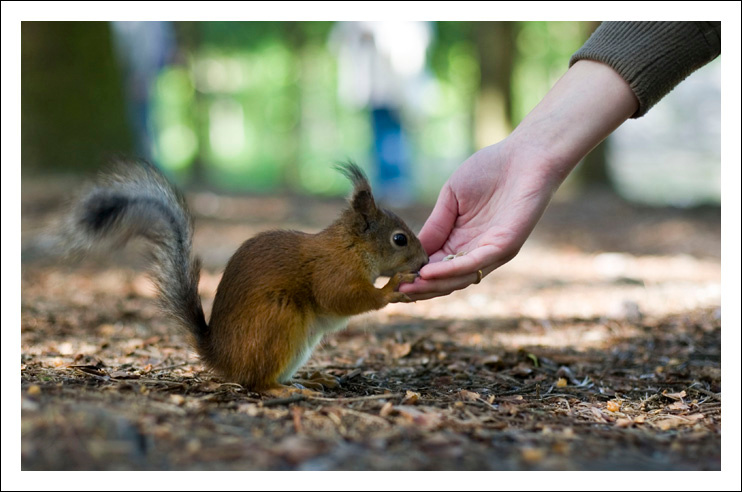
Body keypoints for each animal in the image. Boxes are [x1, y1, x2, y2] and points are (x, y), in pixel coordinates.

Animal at [59, 160, 429, 394]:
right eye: (399, 239)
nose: (424, 261)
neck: (350, 247)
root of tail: (220, 356)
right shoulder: (332, 270)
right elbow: (341, 296)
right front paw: (391, 287)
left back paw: (310, 380)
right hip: (277, 321)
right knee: (257, 383)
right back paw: (286, 391)